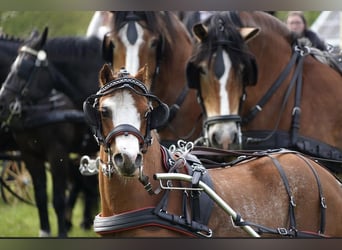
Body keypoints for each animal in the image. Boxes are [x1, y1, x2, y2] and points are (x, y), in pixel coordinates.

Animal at [0, 28, 103, 237]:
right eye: (12, 65)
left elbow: (57, 198)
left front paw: (62, 233)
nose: (3, 101)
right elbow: (41, 196)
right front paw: (45, 231)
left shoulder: (57, 153)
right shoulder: (29, 154)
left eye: (23, 69)